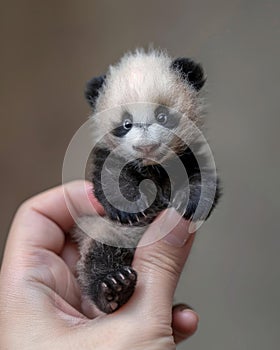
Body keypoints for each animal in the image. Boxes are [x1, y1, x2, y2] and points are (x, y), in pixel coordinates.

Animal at [74, 49, 221, 314]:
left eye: (163, 116)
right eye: (126, 124)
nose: (146, 147)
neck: (153, 167)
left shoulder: (190, 153)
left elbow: (204, 177)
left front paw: (190, 201)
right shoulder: (109, 157)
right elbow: (110, 179)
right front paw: (131, 206)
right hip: (108, 233)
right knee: (98, 258)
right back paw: (113, 288)